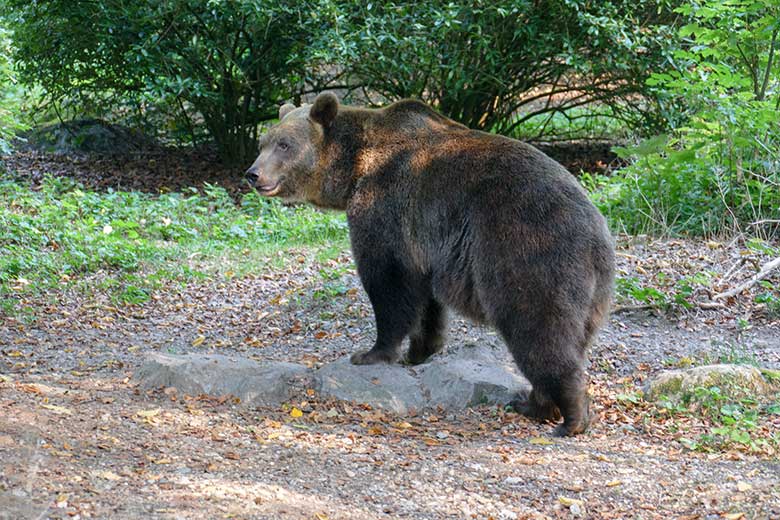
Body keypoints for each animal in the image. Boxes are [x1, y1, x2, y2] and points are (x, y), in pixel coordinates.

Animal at [247, 92, 612, 434]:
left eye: (284, 144)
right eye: (263, 142)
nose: (253, 174)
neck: (354, 168)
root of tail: (596, 233)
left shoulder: (386, 206)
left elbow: (388, 282)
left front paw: (371, 353)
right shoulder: (426, 246)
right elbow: (426, 302)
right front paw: (420, 350)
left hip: (527, 252)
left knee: (539, 329)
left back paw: (569, 417)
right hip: (591, 293)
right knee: (571, 338)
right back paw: (531, 404)